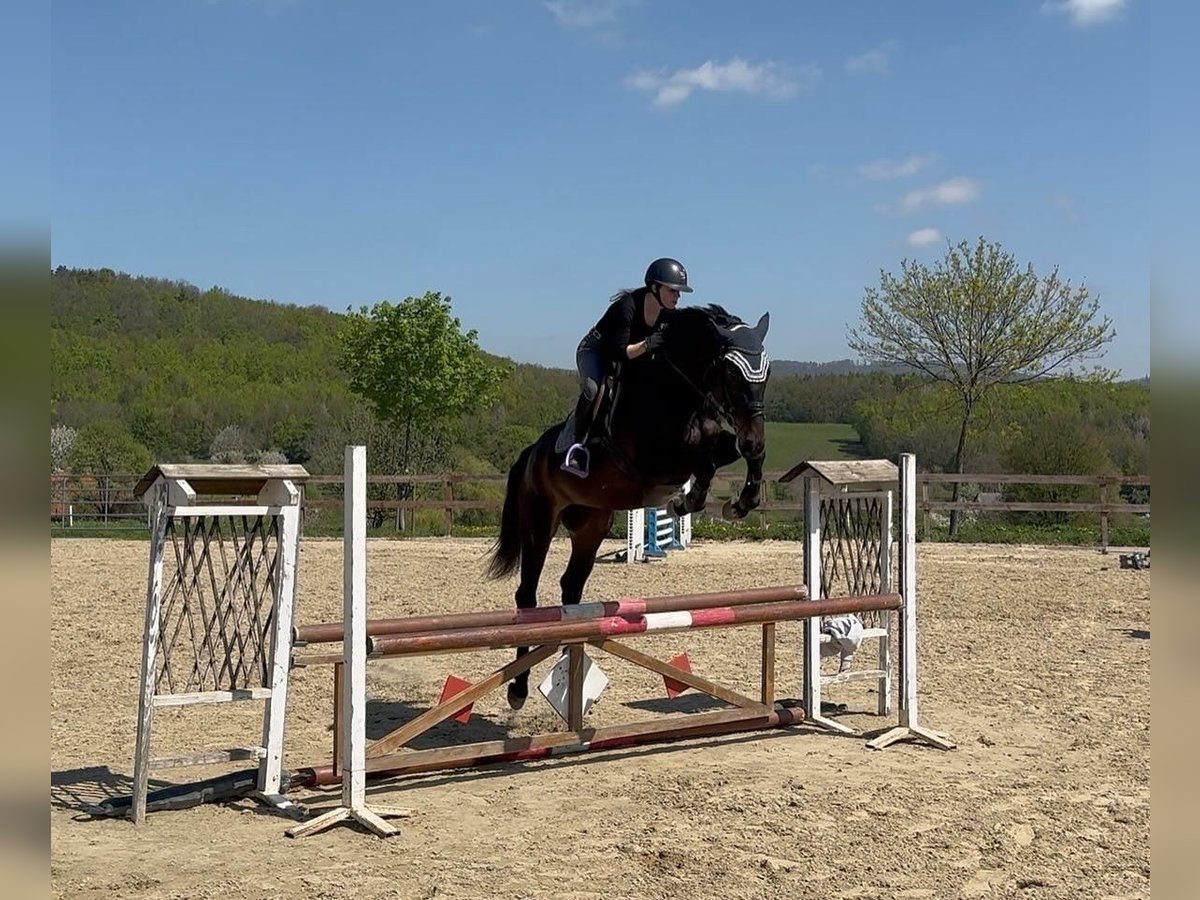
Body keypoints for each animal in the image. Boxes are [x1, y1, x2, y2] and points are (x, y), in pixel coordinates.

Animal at [484, 304, 772, 709]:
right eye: (732, 372)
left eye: (767, 371)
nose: (753, 434)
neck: (675, 392)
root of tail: (529, 454)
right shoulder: (656, 462)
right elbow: (703, 460)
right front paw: (687, 500)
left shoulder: (715, 441)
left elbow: (733, 453)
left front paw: (740, 502)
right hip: (540, 523)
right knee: (527, 595)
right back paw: (518, 689)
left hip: (591, 526)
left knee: (571, 586)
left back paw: (568, 657)